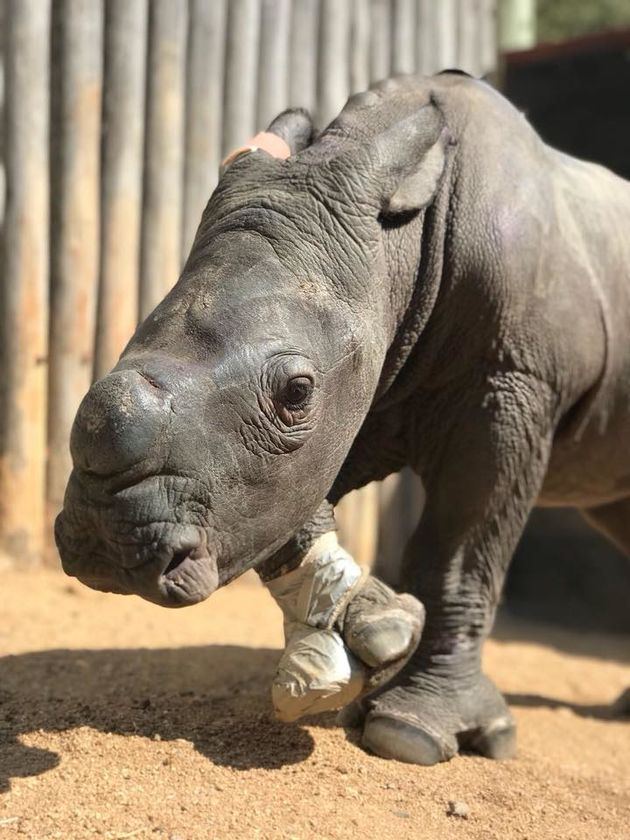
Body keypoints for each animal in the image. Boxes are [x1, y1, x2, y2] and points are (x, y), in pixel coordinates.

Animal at [56, 75, 630, 764]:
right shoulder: (359, 388)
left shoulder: (511, 381)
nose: (105, 546)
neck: (399, 250)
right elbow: (284, 496)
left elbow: (461, 553)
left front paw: (410, 733)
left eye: (295, 392)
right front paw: (371, 633)